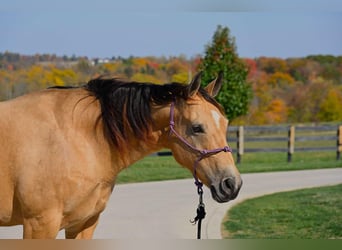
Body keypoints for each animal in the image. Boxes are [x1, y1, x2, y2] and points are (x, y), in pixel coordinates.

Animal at [0, 72, 242, 238]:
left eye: (225, 123)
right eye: (197, 127)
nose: (232, 184)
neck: (76, 138)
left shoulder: (83, 223)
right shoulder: (40, 224)